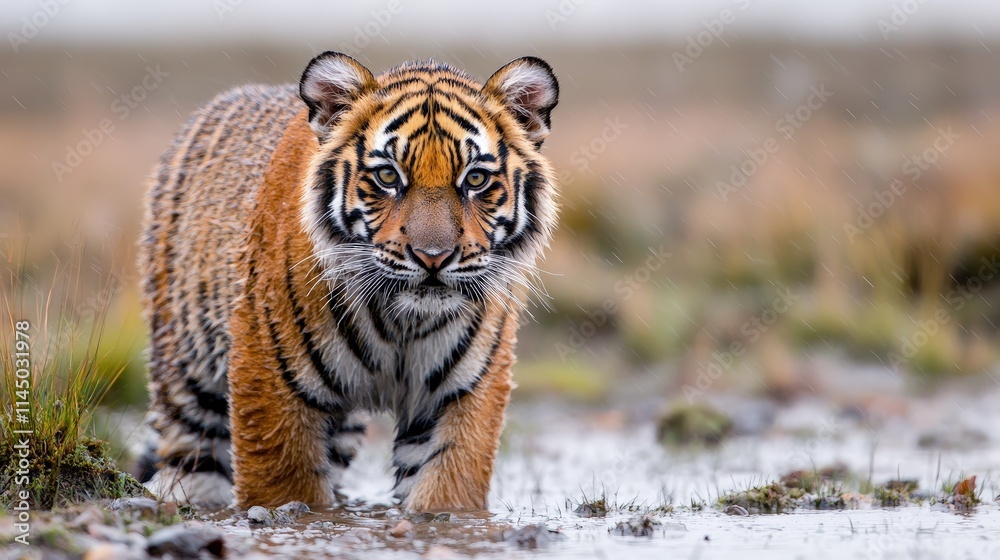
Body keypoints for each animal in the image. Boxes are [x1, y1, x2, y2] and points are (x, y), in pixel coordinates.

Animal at [136, 51, 559, 511]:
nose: (433, 257)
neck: (403, 323)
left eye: (476, 180)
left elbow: (446, 490)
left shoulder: (462, 394)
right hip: (188, 377)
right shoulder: (270, 378)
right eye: (388, 177)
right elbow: (280, 485)